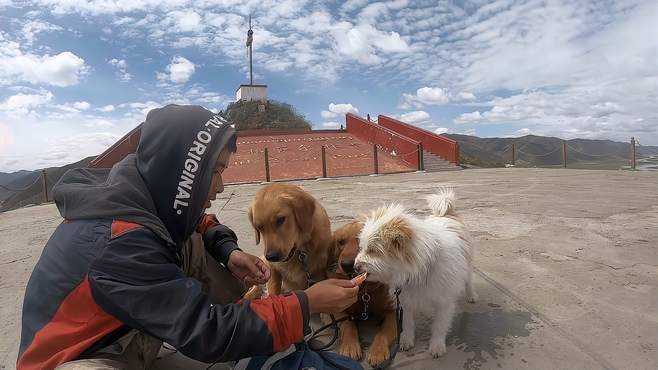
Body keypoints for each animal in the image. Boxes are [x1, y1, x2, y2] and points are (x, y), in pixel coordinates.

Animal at [354, 189, 476, 356]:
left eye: (373, 251)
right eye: (362, 248)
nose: (355, 266)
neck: (420, 270)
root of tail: (447, 214)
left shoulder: (444, 301)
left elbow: (439, 325)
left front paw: (437, 345)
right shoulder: (404, 300)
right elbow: (407, 323)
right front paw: (406, 340)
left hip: (468, 264)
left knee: (468, 280)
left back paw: (471, 295)